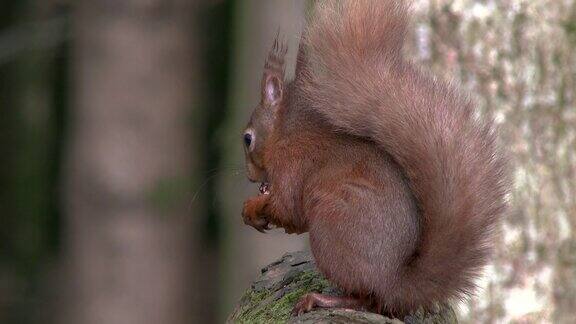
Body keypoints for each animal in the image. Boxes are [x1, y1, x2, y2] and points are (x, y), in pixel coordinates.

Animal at [241, 0, 506, 318]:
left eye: (247, 139)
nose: (251, 176)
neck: (285, 132)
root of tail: (395, 282)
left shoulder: (291, 164)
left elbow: (287, 208)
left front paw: (252, 207)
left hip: (332, 230)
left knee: (367, 299)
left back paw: (320, 299)